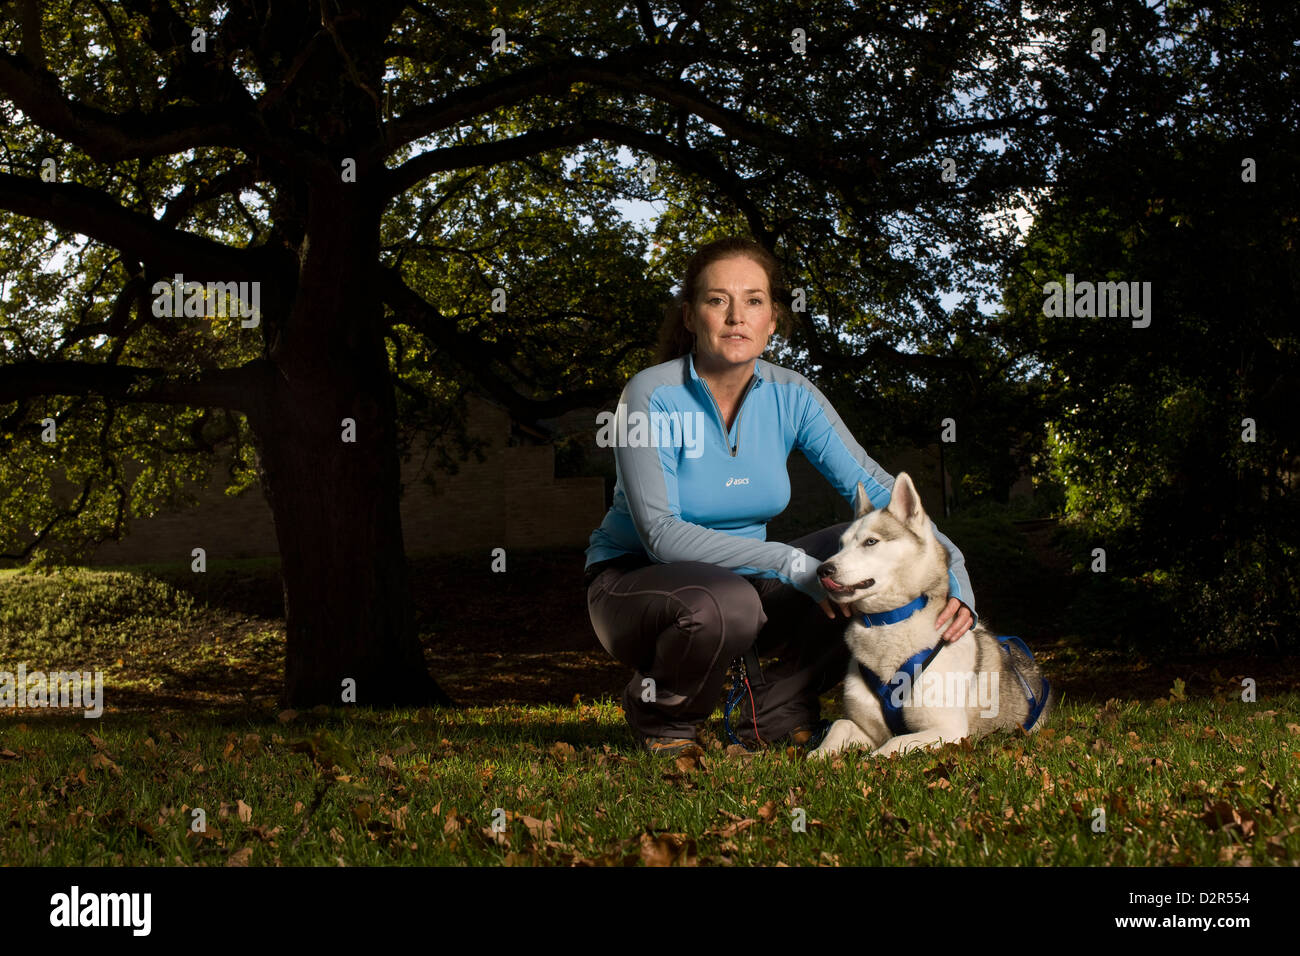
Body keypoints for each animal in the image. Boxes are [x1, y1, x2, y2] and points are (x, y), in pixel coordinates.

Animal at [806, 473, 1050, 764]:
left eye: (871, 542)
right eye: (841, 545)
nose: (822, 570)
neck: (888, 621)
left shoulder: (947, 730)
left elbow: (892, 743)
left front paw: (868, 760)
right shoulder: (868, 729)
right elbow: (840, 725)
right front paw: (820, 753)